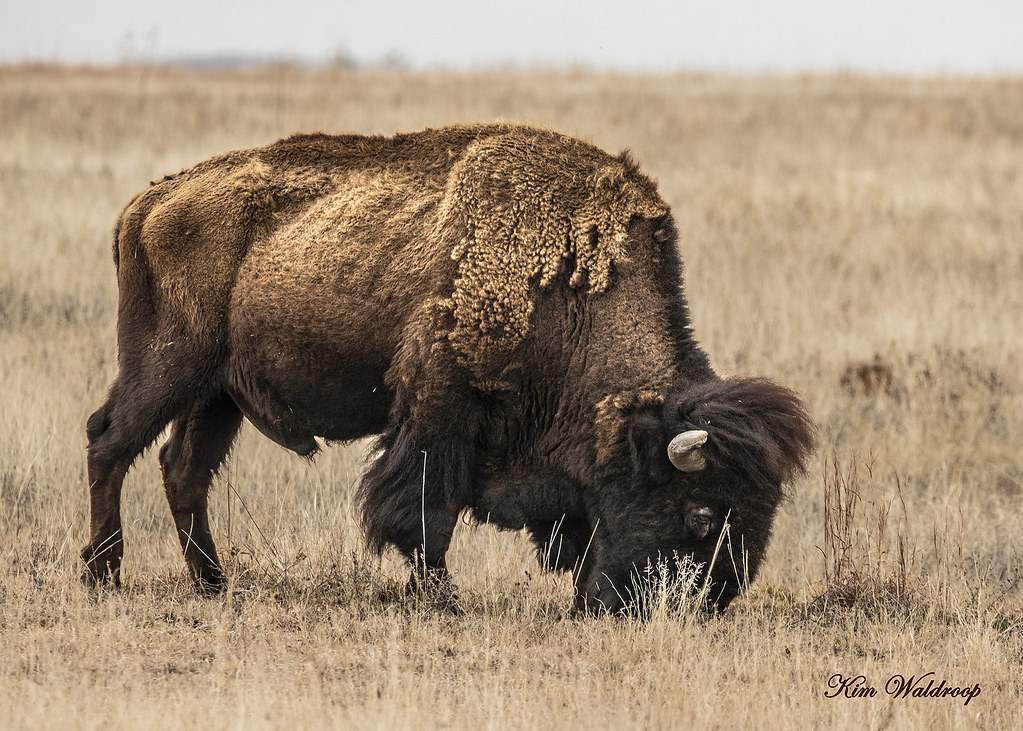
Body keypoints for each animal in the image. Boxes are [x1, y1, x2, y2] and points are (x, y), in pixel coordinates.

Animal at [82, 123, 814, 613]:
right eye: (700, 514)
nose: (701, 606)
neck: (570, 291)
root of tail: (148, 203)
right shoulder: (440, 411)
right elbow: (426, 508)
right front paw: (441, 596)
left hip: (218, 394)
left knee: (182, 468)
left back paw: (212, 582)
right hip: (166, 367)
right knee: (108, 441)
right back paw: (102, 573)